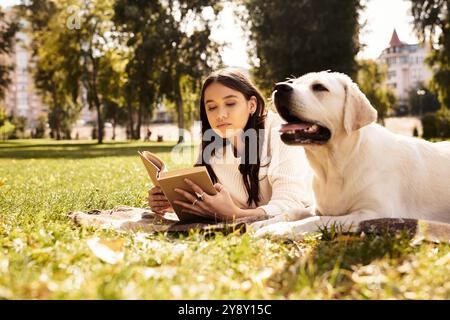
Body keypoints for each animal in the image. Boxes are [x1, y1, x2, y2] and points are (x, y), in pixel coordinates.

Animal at [251, 71, 450, 239]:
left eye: (319, 87)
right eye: (293, 82)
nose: (279, 87)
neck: (335, 166)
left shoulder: (373, 213)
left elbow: (317, 220)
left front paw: (279, 228)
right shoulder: (320, 206)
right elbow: (295, 211)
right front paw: (264, 223)